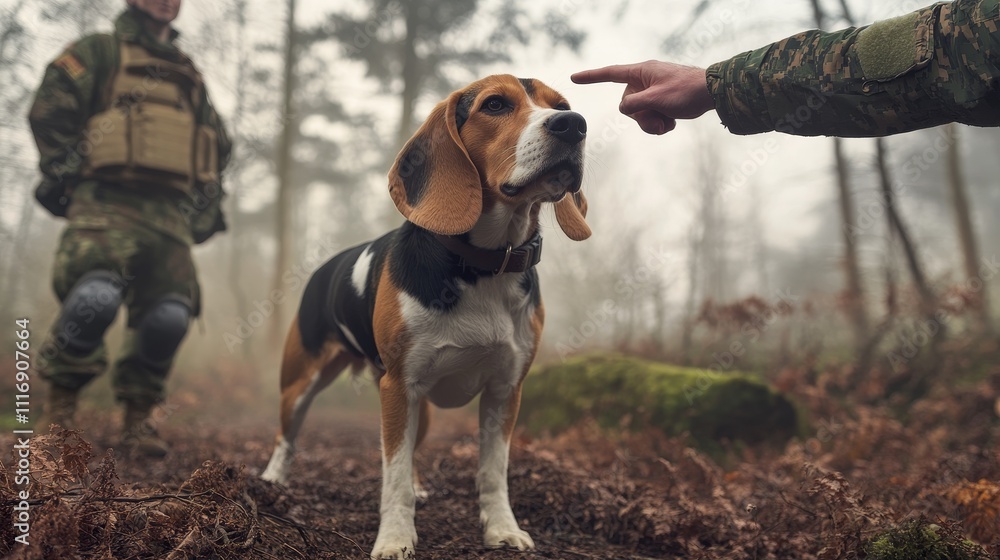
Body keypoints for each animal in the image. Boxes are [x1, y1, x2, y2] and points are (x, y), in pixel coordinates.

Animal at [262, 75, 588, 560]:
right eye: (495, 104)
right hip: (301, 384)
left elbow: (493, 472)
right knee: (287, 436)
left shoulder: (505, 390)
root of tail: (324, 267)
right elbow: (392, 475)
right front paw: (395, 538)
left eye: (561, 105)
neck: (484, 266)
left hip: (418, 405)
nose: (574, 125)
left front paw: (502, 529)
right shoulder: (398, 386)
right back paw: (272, 480)